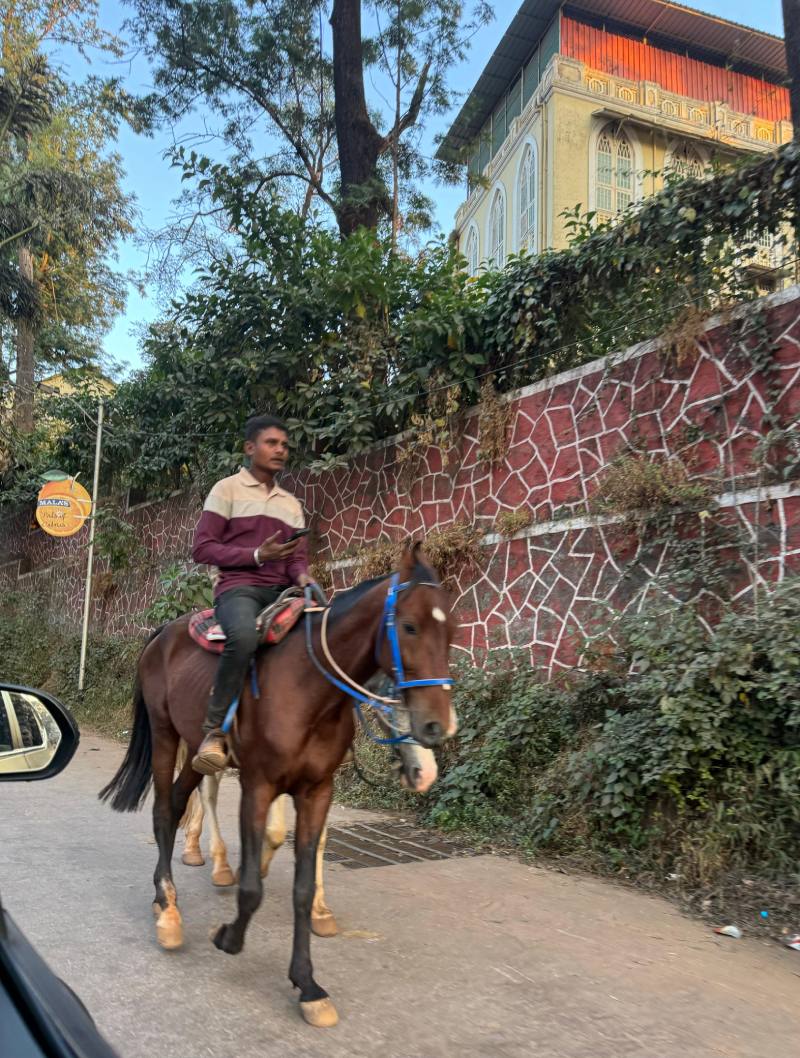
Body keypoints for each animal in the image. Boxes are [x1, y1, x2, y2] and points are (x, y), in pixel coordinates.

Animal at [178, 732, 439, 937]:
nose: (424, 769)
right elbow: (276, 832)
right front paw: (250, 871)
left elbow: (318, 840)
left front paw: (320, 911)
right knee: (208, 792)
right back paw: (218, 865)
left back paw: (193, 848)